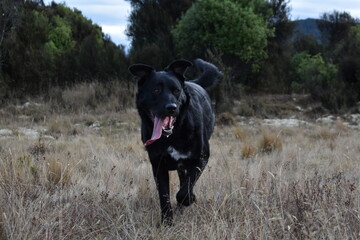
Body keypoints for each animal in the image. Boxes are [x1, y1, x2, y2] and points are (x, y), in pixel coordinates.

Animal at [128, 59, 221, 224]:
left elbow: (184, 191)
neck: (172, 135)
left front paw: (189, 199)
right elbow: (164, 196)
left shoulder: (201, 158)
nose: (171, 107)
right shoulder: (158, 166)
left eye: (176, 90)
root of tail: (191, 81)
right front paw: (167, 222)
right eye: (156, 90)